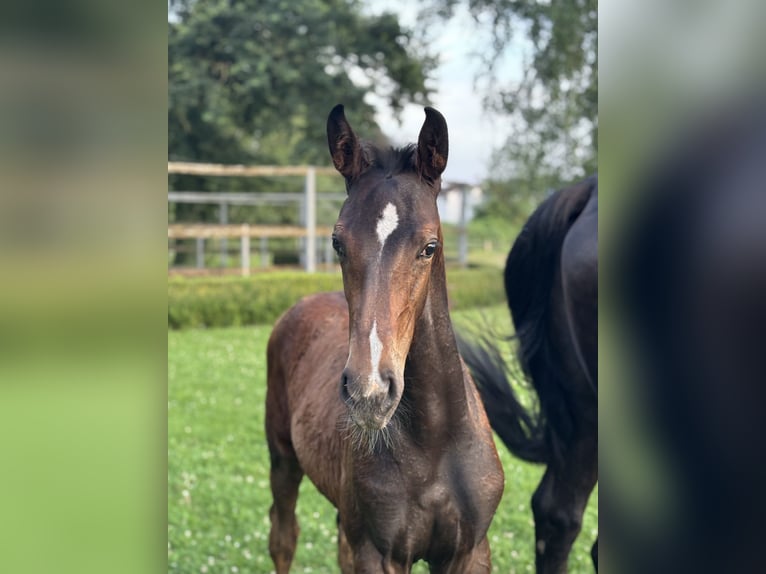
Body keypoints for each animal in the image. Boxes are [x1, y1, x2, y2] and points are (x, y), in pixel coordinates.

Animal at [268, 106, 508, 572]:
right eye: (337, 242)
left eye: (430, 246)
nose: (370, 393)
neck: (436, 442)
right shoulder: (378, 552)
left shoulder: (472, 550)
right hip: (282, 457)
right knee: (283, 535)